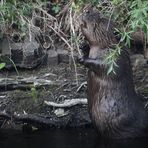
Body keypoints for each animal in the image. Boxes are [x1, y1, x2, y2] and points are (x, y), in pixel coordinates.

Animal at [79, 6, 148, 139]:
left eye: (101, 20)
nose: (87, 9)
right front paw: (83, 46)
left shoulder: (116, 58)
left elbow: (106, 67)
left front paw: (82, 58)